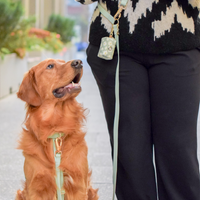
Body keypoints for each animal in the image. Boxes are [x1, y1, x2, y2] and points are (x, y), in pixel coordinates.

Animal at [14, 58, 98, 199]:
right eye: (50, 66)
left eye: (63, 61)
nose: (79, 62)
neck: (55, 132)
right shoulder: (36, 188)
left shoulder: (79, 185)